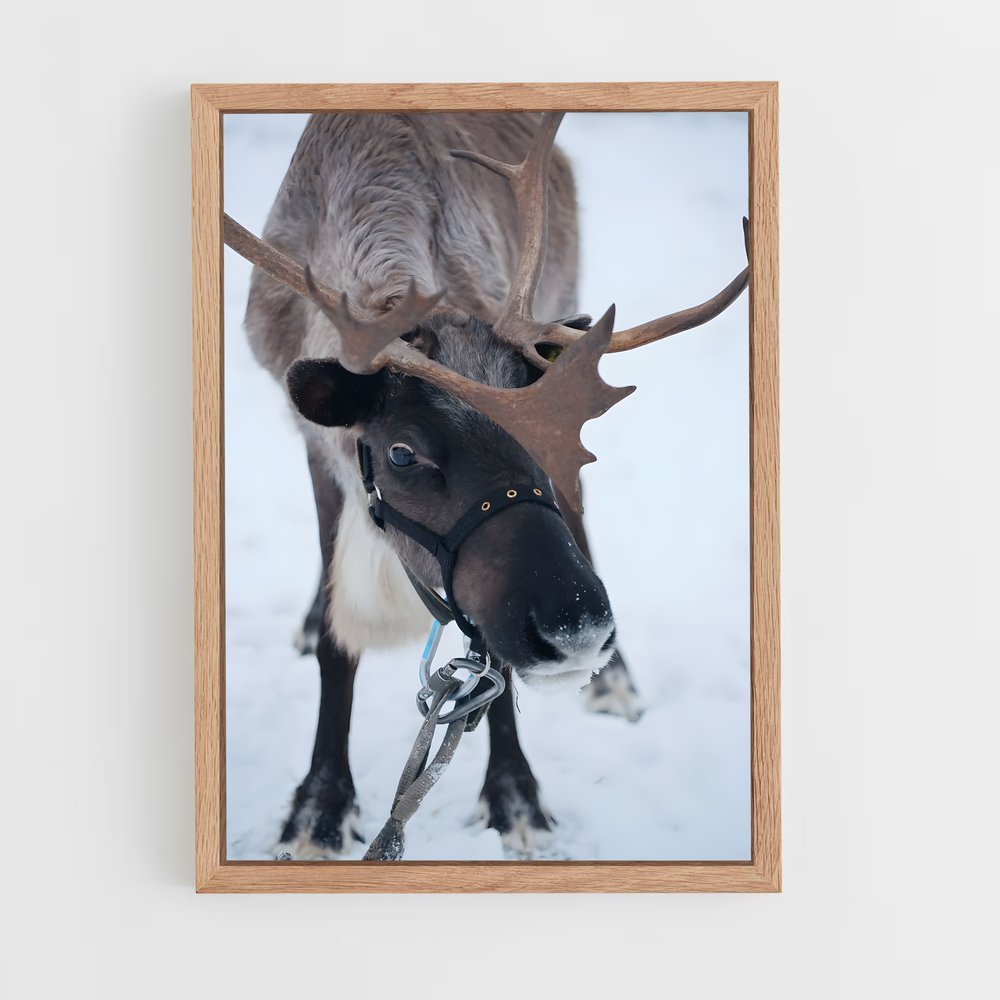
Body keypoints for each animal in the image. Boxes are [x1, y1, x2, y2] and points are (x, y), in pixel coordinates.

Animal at [226, 112, 748, 858]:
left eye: (549, 441)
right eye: (403, 452)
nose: (578, 629)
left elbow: (489, 667)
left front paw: (517, 798)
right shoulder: (321, 453)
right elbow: (335, 638)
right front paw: (319, 810)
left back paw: (617, 683)